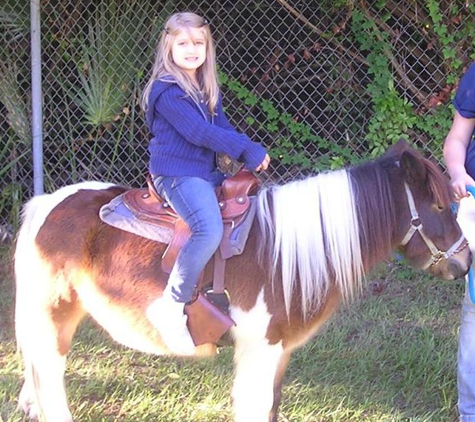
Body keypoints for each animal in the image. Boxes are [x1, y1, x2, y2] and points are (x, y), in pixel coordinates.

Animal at [13, 142, 472, 422]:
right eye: (437, 206)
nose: (465, 262)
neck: (288, 253)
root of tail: (48, 203)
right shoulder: (260, 348)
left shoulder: (279, 350)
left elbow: (271, 406)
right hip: (53, 318)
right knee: (50, 381)